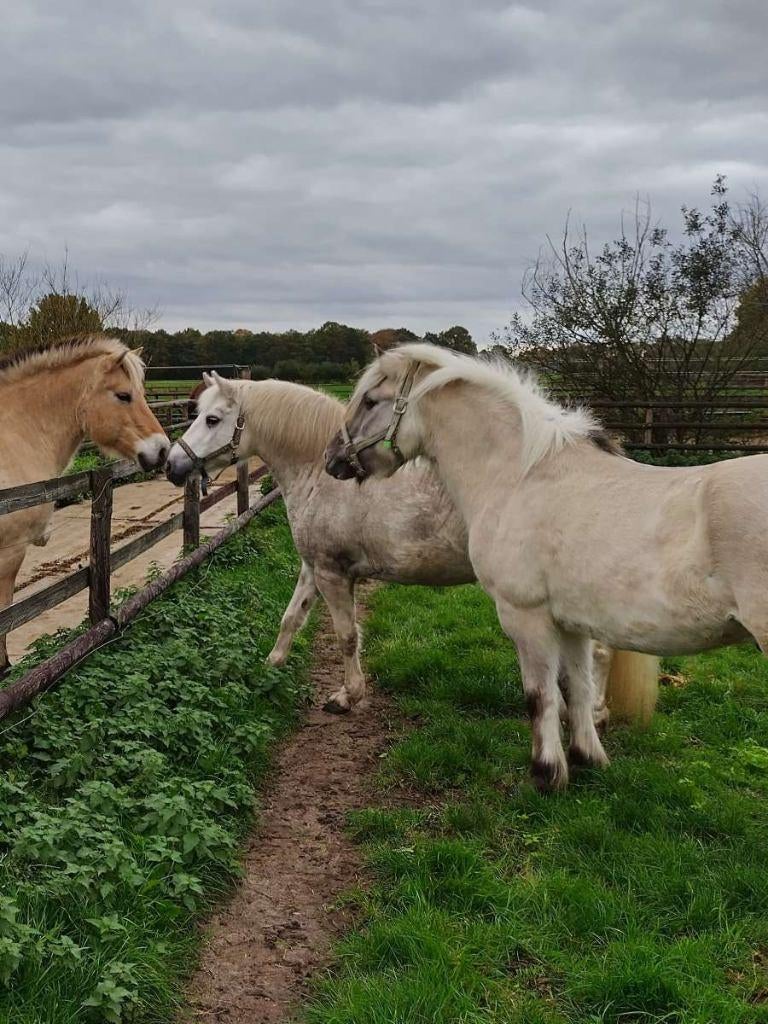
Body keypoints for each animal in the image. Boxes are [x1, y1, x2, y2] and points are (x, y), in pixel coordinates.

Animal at [164, 373, 625, 721]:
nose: (171, 464)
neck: (319, 473)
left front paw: (347, 697)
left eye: (212, 419)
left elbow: (347, 636)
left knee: (600, 650)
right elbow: (291, 619)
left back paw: (592, 712)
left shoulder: (333, 574)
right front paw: (270, 668)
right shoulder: (314, 567)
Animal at [325, 343, 762, 791]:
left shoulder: (525, 617)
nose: (333, 460)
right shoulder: (573, 623)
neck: (519, 478)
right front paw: (588, 758)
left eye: (370, 401)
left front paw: (547, 772)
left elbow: (540, 696)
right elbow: (578, 688)